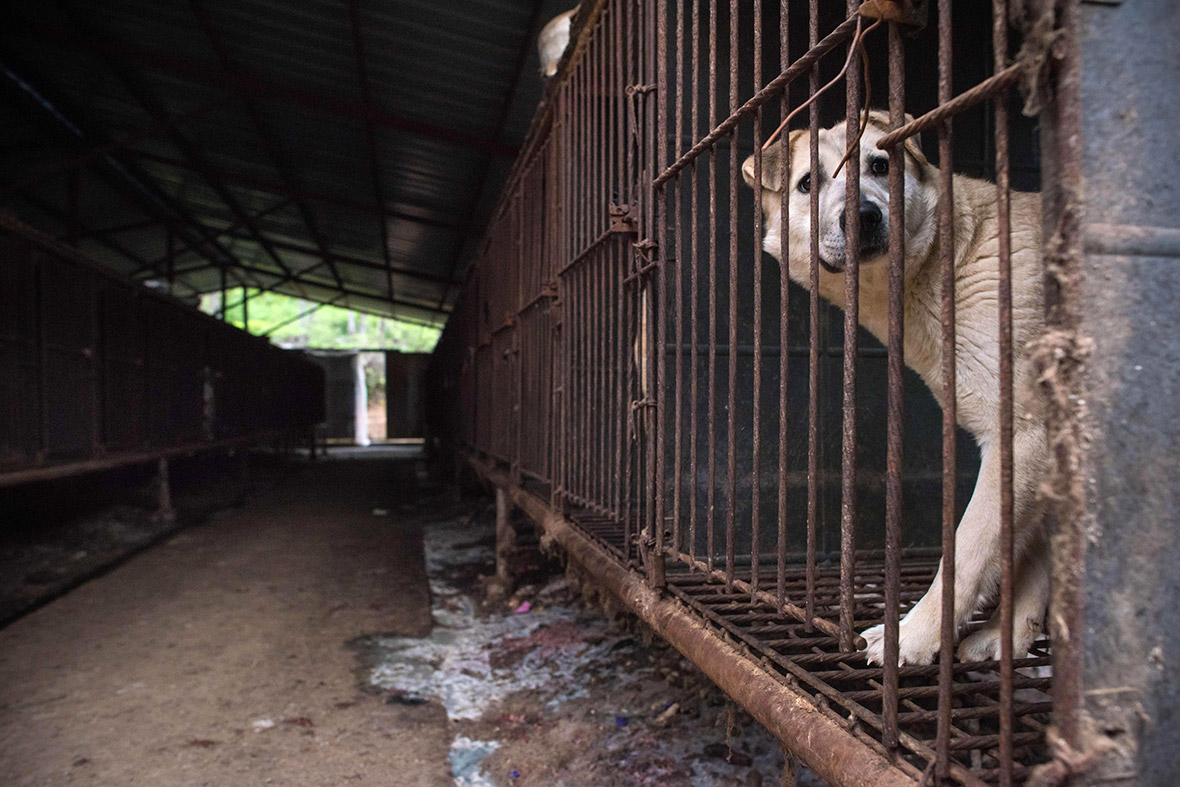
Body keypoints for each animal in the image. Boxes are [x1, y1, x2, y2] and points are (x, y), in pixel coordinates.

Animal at [741, 110, 1047, 665]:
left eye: (880, 166)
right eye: (807, 184)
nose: (862, 215)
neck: (946, 266)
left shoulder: (1023, 434)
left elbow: (967, 551)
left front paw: (914, 637)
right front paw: (1008, 632)